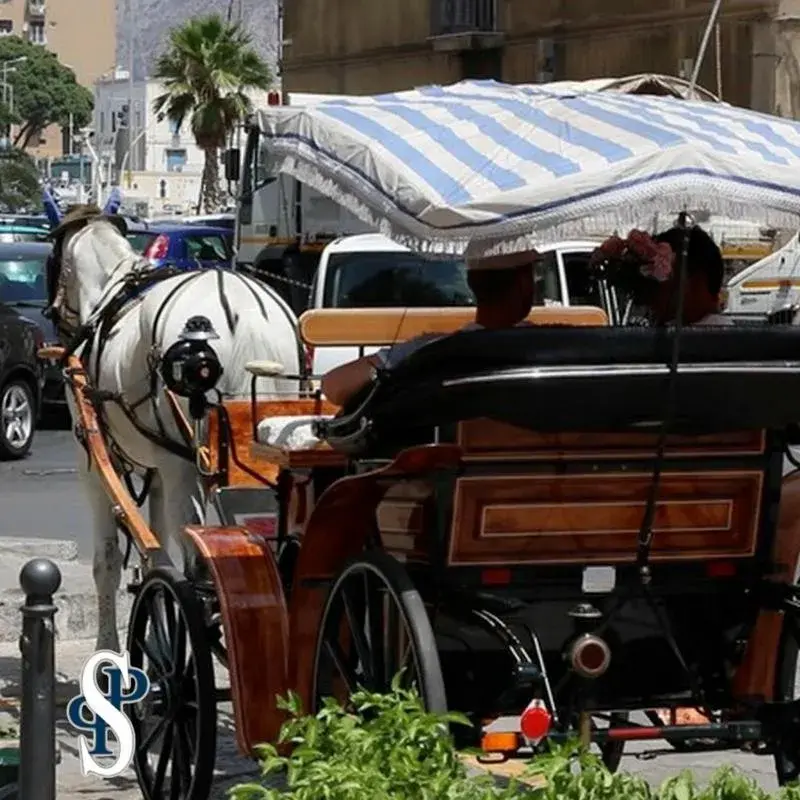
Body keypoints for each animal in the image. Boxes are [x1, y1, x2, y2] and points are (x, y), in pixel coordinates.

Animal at [50, 211, 300, 648]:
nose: (51, 315)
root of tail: (244, 309)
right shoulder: (157, 469)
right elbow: (156, 549)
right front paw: (159, 626)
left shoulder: (92, 461)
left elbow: (109, 560)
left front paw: (109, 649)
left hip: (182, 462)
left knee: (195, 561)